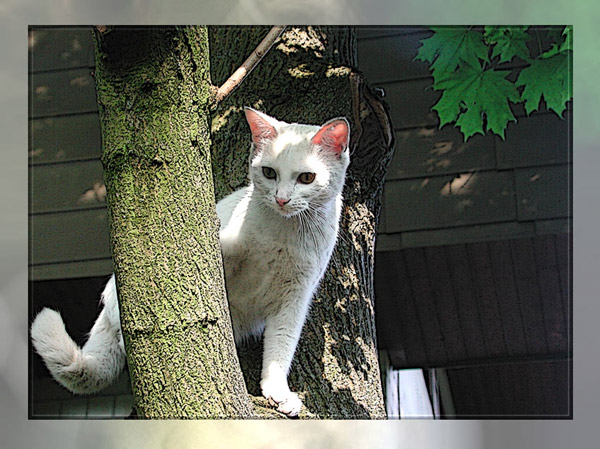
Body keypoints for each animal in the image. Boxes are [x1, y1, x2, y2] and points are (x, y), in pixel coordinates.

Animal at [31, 108, 352, 416]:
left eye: (306, 178)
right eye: (269, 172)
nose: (281, 199)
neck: (283, 234)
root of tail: (108, 301)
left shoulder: (294, 300)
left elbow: (280, 350)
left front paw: (279, 393)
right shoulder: (227, 249)